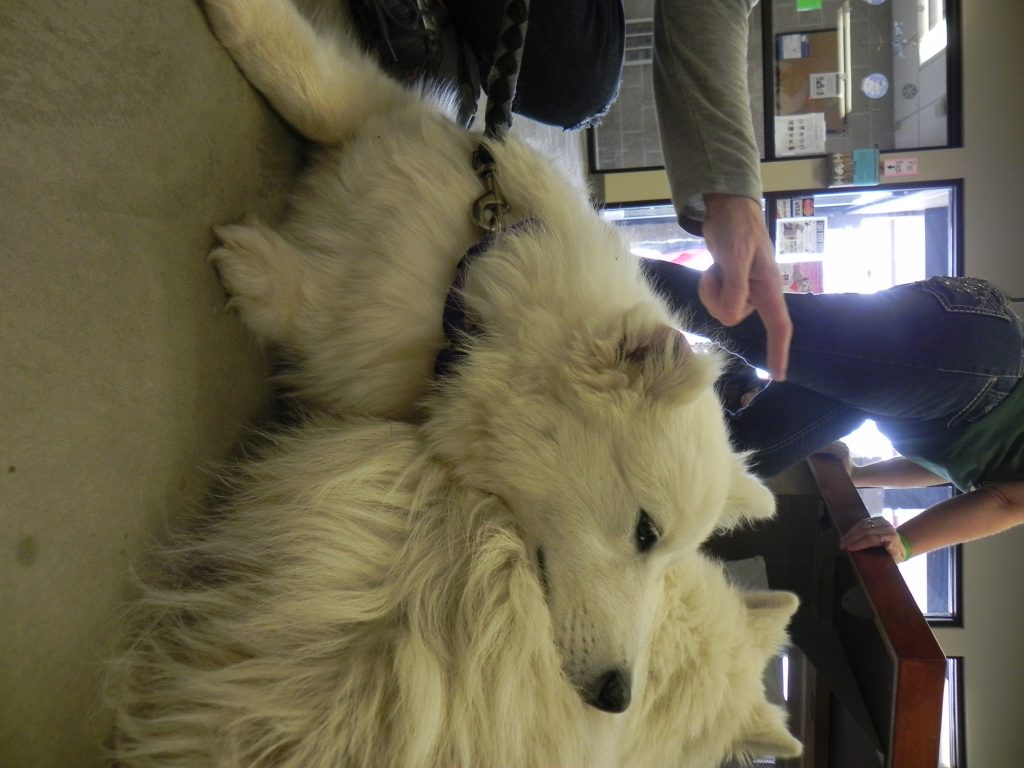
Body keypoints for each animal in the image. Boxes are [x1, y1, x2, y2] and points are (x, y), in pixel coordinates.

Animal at [200, 0, 780, 717]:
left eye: (670, 557)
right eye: (647, 532)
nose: (618, 696)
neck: (464, 296)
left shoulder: (361, 356)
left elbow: (320, 321)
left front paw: (262, 275)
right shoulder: (398, 118)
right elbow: (312, 88)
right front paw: (242, 18)